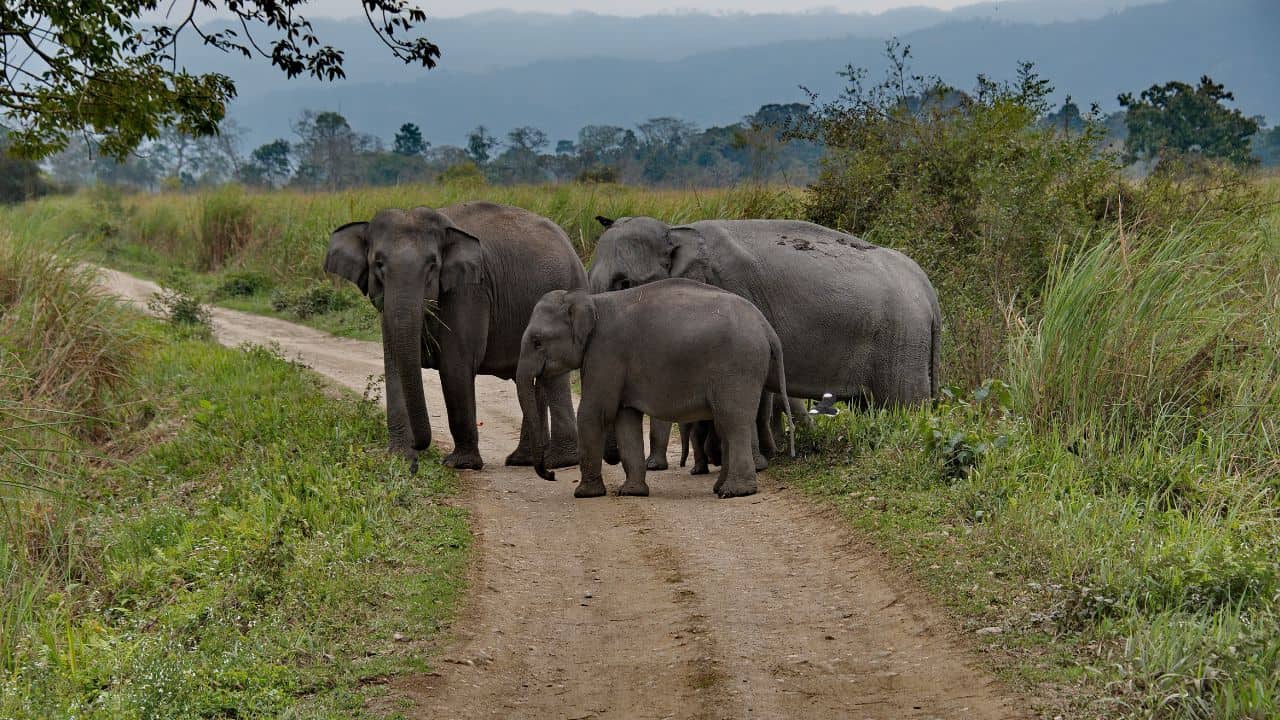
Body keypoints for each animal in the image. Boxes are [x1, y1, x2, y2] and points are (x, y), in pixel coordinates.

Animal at [324, 202, 586, 471]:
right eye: (378, 264)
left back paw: (556, 461)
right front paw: (399, 456)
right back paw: (523, 460)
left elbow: (455, 366)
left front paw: (459, 464)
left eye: (432, 265)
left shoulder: (469, 291)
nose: (419, 449)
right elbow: (394, 364)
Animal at [516, 278, 794, 499]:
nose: (551, 475)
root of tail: (767, 328)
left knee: (733, 421)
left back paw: (734, 492)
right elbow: (625, 418)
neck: (591, 301)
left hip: (737, 367)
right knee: (726, 423)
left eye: (537, 342)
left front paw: (584, 494)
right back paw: (720, 487)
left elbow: (595, 413)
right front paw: (631, 492)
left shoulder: (606, 353)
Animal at [588, 216, 941, 409]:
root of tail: (927, 289)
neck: (675, 230)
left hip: (901, 339)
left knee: (902, 405)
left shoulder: (733, 288)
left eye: (624, 283)